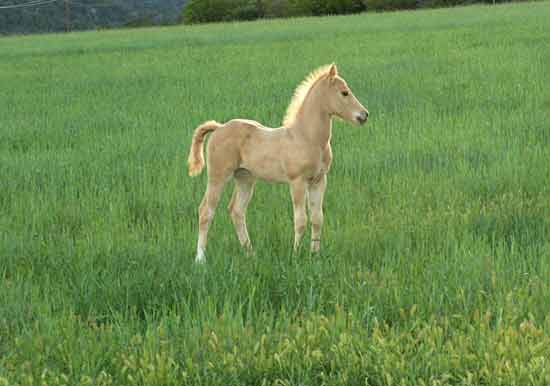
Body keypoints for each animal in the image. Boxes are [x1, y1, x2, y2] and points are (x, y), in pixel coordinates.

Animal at [189, 64, 370, 262]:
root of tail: (219, 127)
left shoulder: (319, 180)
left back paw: (250, 253)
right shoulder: (297, 181)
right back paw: (200, 259)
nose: (364, 115)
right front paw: (296, 254)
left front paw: (314, 255)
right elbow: (300, 220)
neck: (307, 137)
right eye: (344, 93)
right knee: (206, 211)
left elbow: (317, 219)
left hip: (245, 178)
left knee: (237, 211)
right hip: (218, 176)